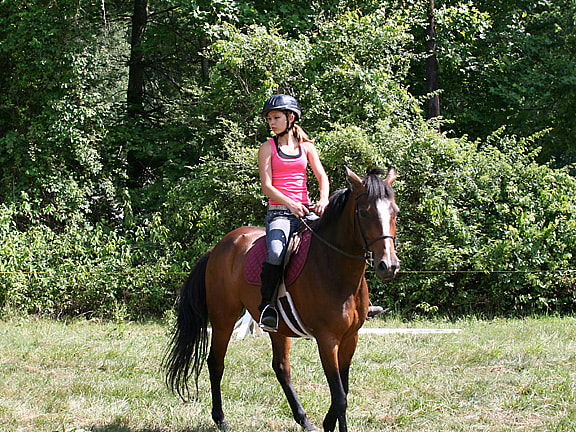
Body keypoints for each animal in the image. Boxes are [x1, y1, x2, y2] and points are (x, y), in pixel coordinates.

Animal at [165, 166, 400, 432]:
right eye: (364, 212)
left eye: (395, 213)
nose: (388, 265)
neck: (336, 268)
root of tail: (218, 248)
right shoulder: (327, 339)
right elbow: (340, 396)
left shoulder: (351, 337)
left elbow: (344, 389)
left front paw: (327, 423)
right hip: (223, 318)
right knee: (216, 362)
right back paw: (221, 419)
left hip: (277, 327)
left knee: (281, 368)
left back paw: (304, 420)